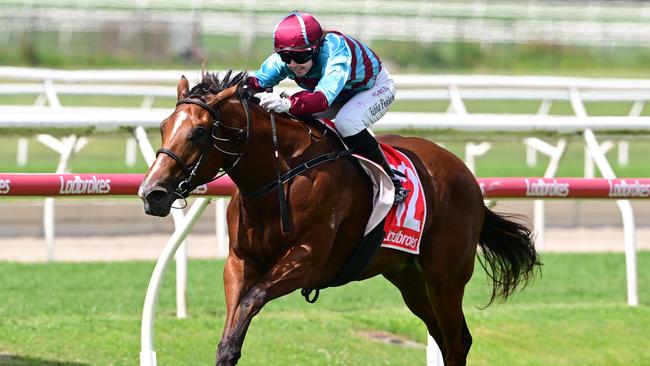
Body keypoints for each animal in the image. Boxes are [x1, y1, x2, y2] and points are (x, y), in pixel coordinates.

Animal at [139, 70, 540, 364]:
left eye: (199, 132)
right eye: (163, 126)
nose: (151, 193)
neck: (279, 176)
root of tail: (468, 177)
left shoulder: (308, 260)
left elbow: (252, 299)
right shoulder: (239, 261)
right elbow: (232, 329)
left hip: (445, 278)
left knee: (456, 342)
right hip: (408, 277)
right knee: (445, 338)